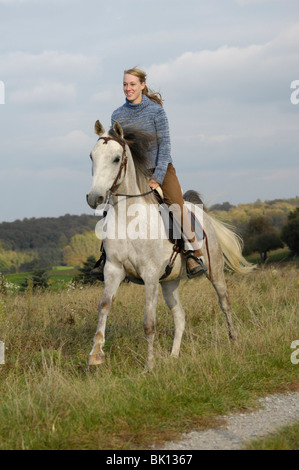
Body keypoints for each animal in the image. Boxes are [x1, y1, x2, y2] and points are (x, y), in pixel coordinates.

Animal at [86, 121, 255, 370]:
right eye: (92, 156)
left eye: (116, 158)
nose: (93, 197)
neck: (130, 219)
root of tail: (202, 214)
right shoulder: (113, 269)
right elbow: (104, 305)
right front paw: (96, 354)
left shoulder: (150, 275)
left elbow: (149, 322)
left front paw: (149, 365)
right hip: (169, 282)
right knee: (180, 315)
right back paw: (174, 356)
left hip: (214, 271)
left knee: (224, 302)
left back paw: (234, 340)